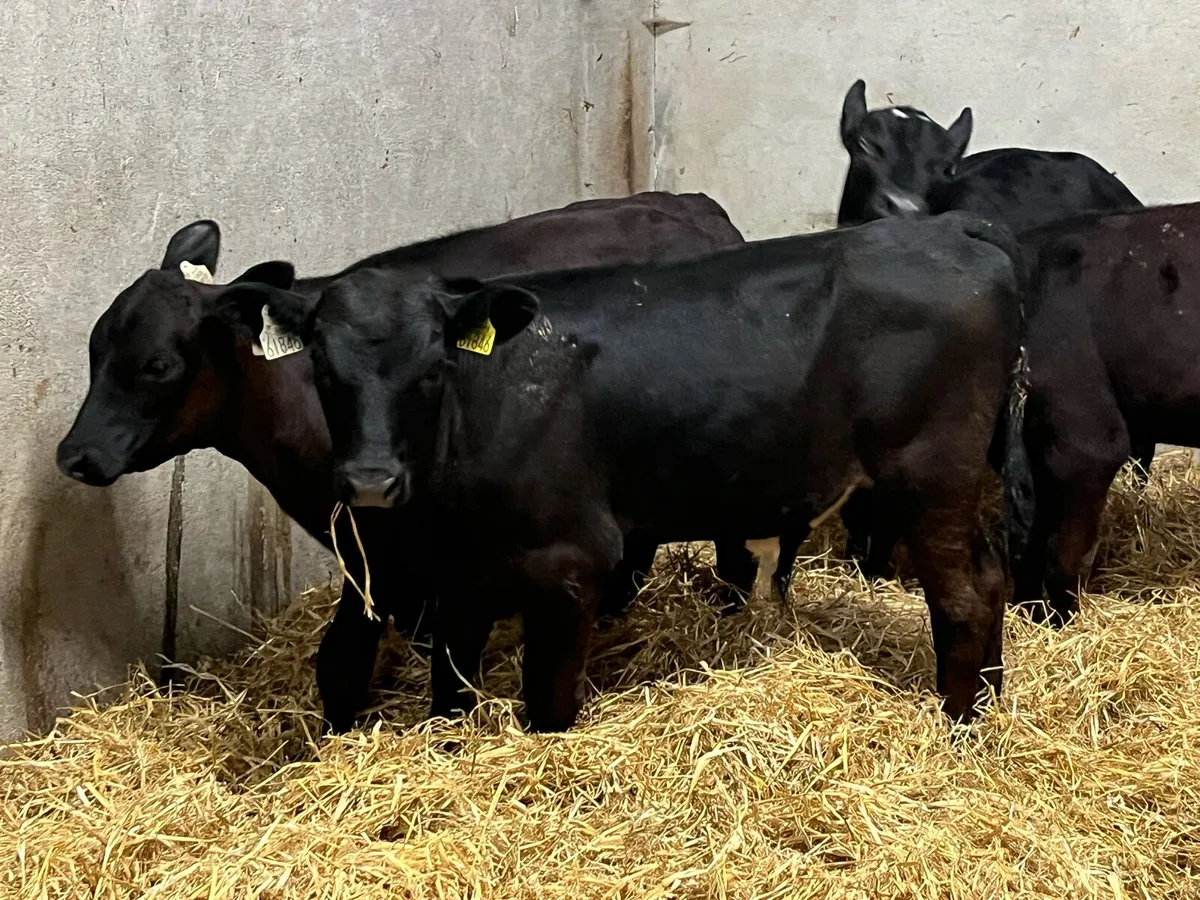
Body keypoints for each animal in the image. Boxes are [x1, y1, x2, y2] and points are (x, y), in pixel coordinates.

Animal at [54, 191, 746, 733]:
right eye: (94, 346)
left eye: (158, 364)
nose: (75, 455)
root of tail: (693, 206)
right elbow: (353, 658)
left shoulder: (393, 548)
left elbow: (354, 654)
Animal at [229, 210, 1030, 732]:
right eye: (322, 371)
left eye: (431, 370)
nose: (370, 482)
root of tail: (952, 228)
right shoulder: (458, 582)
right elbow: (448, 691)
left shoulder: (572, 563)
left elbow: (548, 702)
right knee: (991, 576)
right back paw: (990, 704)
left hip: (931, 471)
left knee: (964, 594)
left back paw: (960, 724)